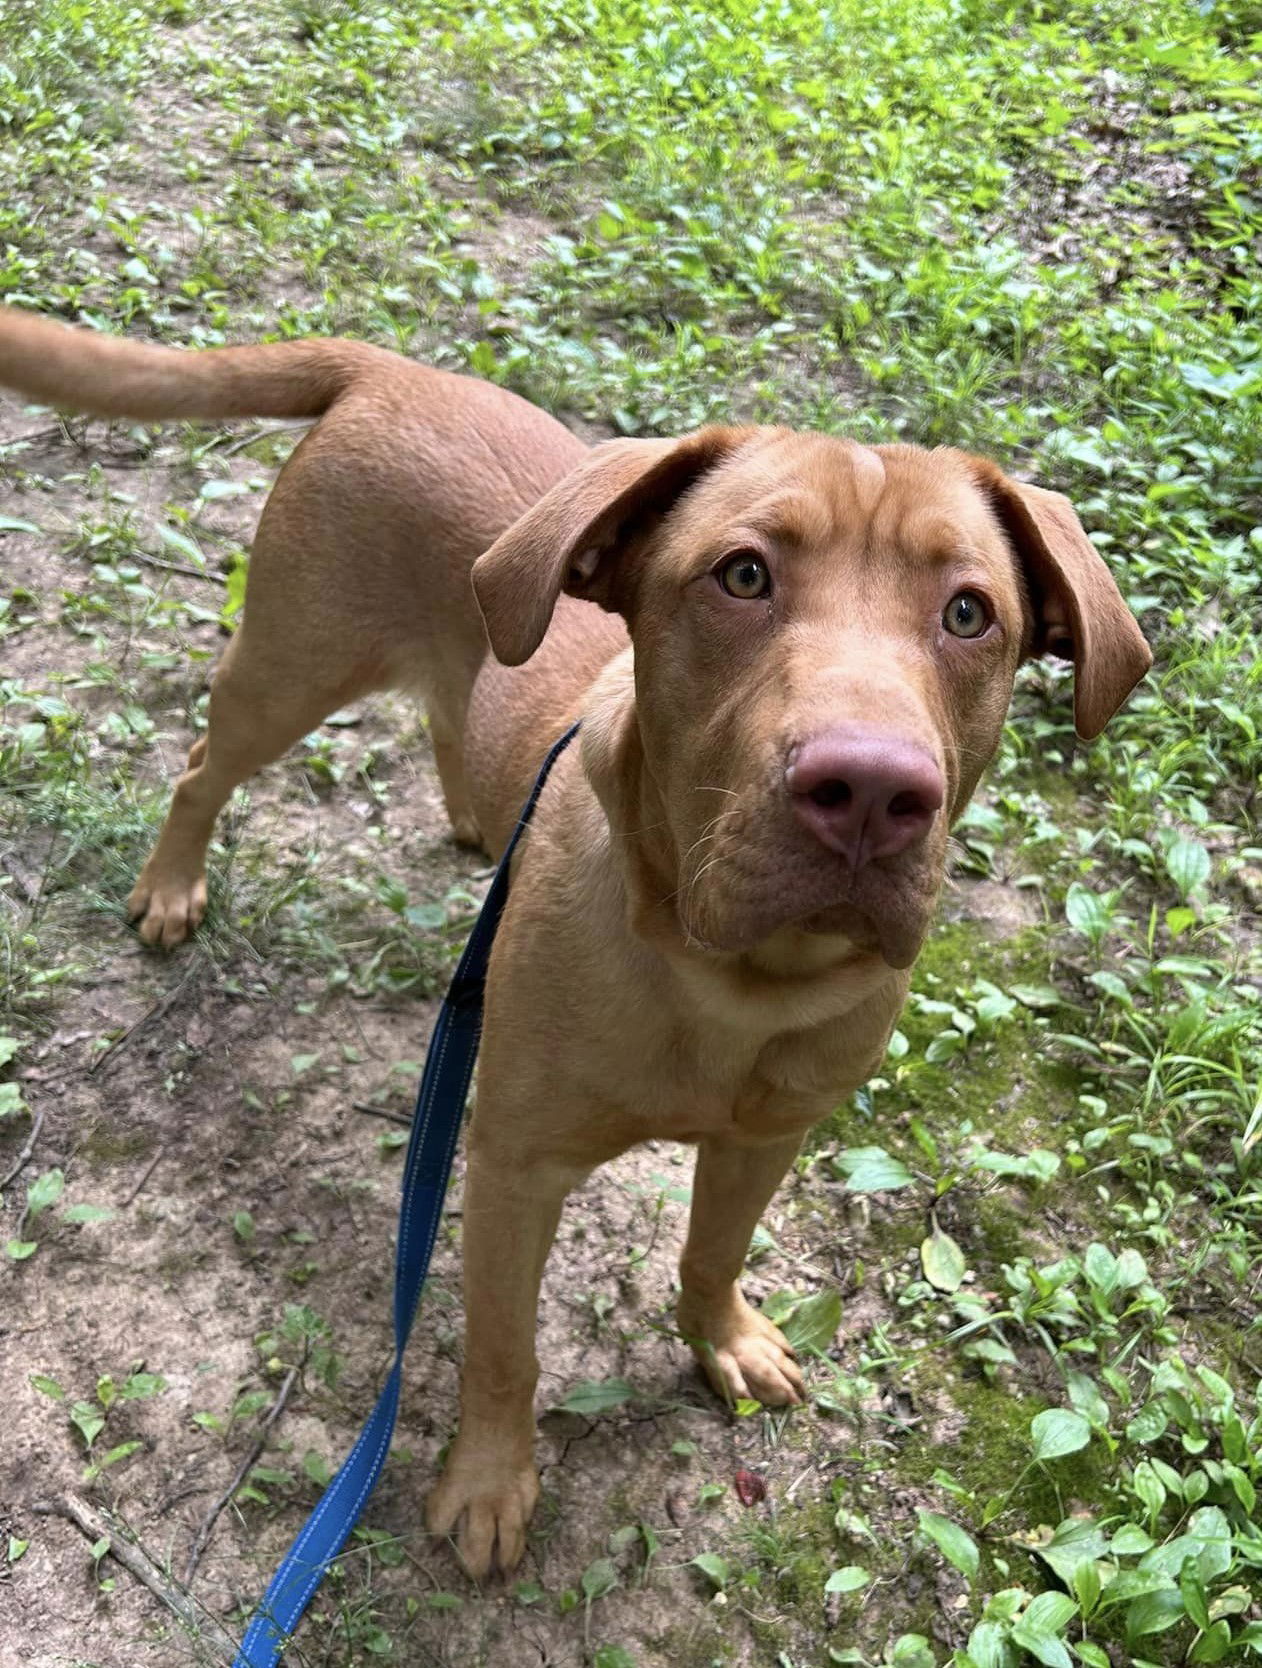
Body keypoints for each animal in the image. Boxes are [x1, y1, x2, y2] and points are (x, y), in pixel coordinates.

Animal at [0, 313, 1153, 1574]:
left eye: (968, 613)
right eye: (740, 575)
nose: (868, 793)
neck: (730, 977)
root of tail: (391, 370)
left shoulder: (767, 1138)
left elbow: (711, 1251)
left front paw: (721, 1337)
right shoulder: (514, 1167)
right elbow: (505, 1347)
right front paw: (490, 1482)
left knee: (455, 707)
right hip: (290, 668)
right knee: (205, 767)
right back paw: (171, 885)